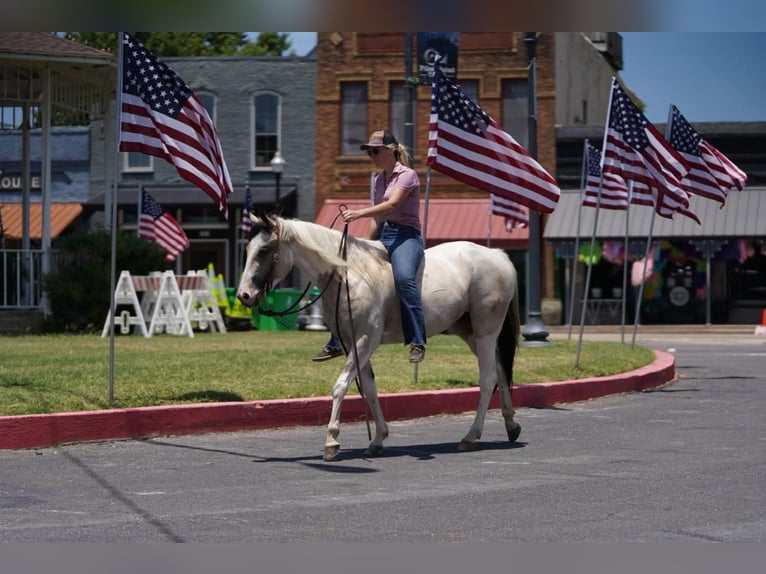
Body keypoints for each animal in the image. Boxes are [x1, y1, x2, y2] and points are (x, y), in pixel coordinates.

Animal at [237, 216, 524, 464]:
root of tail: (498, 256)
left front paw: (332, 440)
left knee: (487, 379)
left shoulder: (365, 341)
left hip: (486, 332)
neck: (348, 275)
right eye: (248, 248)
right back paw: (511, 424)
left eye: (264, 250)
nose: (244, 295)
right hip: (470, 333)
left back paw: (471, 436)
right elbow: (370, 389)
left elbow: (340, 386)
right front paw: (377, 439)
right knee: (500, 371)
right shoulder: (351, 344)